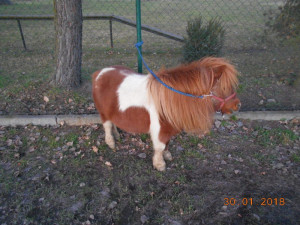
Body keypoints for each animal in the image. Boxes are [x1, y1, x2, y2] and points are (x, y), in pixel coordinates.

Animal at [92, 57, 240, 171]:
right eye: (224, 88)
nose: (238, 105)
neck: (169, 98)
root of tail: (99, 73)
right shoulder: (159, 129)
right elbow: (160, 146)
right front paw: (160, 164)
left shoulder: (168, 127)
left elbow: (167, 143)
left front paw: (167, 155)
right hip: (103, 113)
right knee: (107, 125)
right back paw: (111, 142)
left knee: (112, 122)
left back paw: (117, 135)